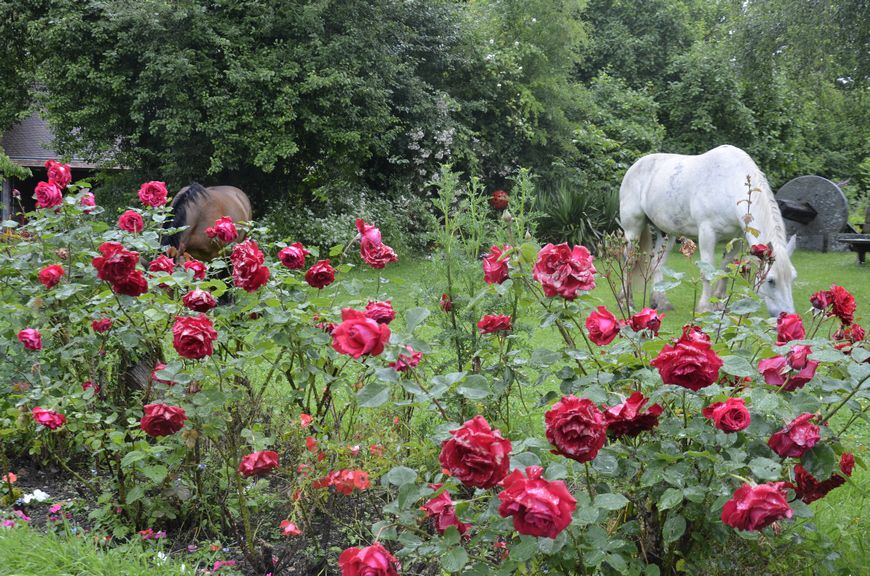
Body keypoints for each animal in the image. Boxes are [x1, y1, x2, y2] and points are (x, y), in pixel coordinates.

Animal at [620, 143, 796, 316]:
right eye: (771, 280)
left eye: (793, 278)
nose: (787, 314)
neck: (730, 183)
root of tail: (635, 166)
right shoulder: (707, 234)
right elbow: (708, 271)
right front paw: (705, 307)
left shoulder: (737, 238)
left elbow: (726, 267)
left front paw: (719, 303)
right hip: (633, 229)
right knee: (629, 261)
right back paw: (626, 302)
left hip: (666, 234)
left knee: (657, 262)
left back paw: (661, 302)